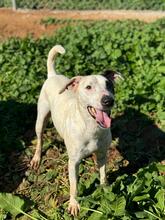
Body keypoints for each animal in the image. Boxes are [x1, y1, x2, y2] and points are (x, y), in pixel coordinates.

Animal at [30, 44, 122, 215]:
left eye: (109, 85)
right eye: (88, 87)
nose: (108, 100)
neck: (91, 128)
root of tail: (53, 75)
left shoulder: (102, 154)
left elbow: (103, 174)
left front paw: (105, 190)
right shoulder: (73, 163)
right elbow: (74, 186)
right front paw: (73, 204)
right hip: (41, 120)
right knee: (39, 139)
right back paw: (36, 158)